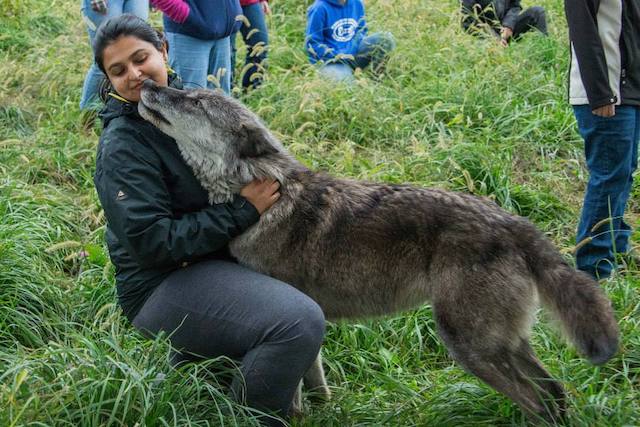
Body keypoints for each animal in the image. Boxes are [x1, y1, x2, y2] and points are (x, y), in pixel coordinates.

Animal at [136, 80, 620, 422]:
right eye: (185, 92)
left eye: (195, 101)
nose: (147, 85)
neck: (260, 195)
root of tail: (516, 224)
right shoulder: (313, 318)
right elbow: (315, 374)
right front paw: (323, 410)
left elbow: (294, 388)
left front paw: (295, 414)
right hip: (503, 343)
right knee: (555, 392)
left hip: (470, 347)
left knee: (537, 401)